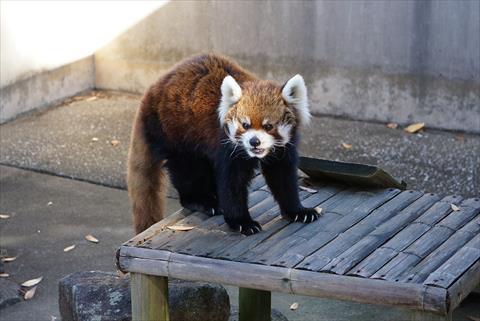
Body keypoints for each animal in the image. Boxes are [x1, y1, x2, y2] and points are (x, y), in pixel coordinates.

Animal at [129, 54, 320, 235]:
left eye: (268, 126)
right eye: (245, 125)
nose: (254, 141)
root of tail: (151, 91)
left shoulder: (284, 149)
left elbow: (283, 177)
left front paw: (298, 211)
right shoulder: (226, 146)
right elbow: (232, 182)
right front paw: (242, 222)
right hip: (176, 131)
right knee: (188, 169)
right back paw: (201, 200)